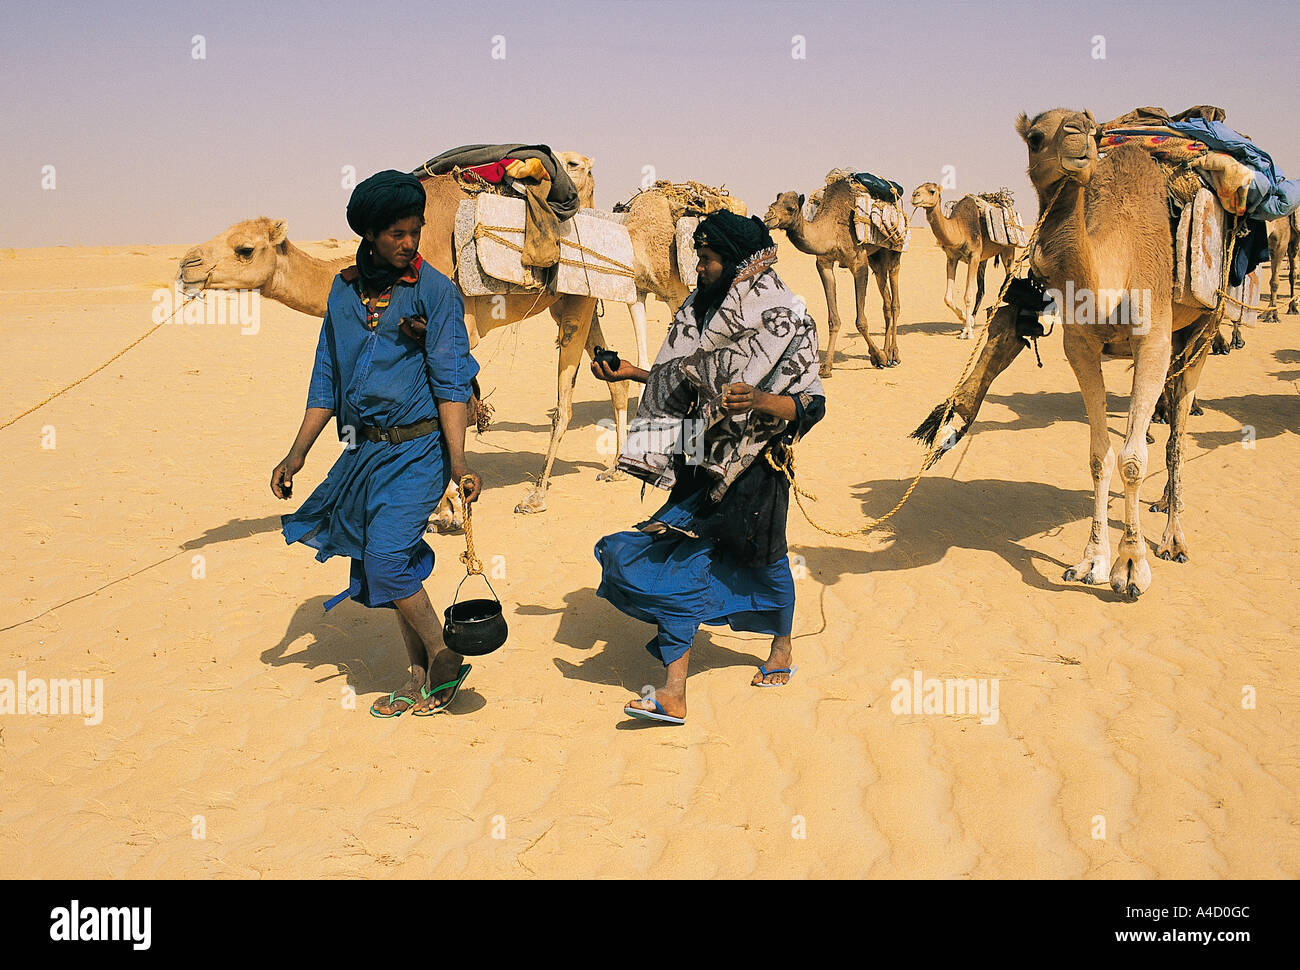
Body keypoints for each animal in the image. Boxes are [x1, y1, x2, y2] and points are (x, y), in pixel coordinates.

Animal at [759, 175, 904, 371]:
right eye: (773, 204)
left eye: (791, 208)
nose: (768, 218)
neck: (831, 230)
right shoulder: (824, 263)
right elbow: (833, 320)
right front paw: (826, 366)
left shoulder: (859, 263)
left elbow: (861, 321)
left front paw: (878, 357)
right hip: (876, 258)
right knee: (886, 301)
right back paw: (887, 352)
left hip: (894, 249)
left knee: (895, 300)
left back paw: (892, 354)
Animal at [909, 184, 1019, 340]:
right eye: (918, 188)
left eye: (932, 191)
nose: (915, 195)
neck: (959, 230)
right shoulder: (952, 258)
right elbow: (948, 298)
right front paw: (967, 321)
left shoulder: (973, 257)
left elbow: (968, 296)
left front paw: (968, 332)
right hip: (984, 259)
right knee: (982, 289)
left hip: (1008, 249)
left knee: (1008, 280)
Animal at [1008, 104, 1222, 590]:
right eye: (1035, 137)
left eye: (1092, 132)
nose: (1077, 135)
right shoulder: (1080, 347)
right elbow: (1099, 456)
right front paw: (1092, 561)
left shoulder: (1153, 338)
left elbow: (1133, 460)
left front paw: (1130, 568)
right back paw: (1163, 503)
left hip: (1205, 325)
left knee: (1179, 433)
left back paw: (1173, 537)